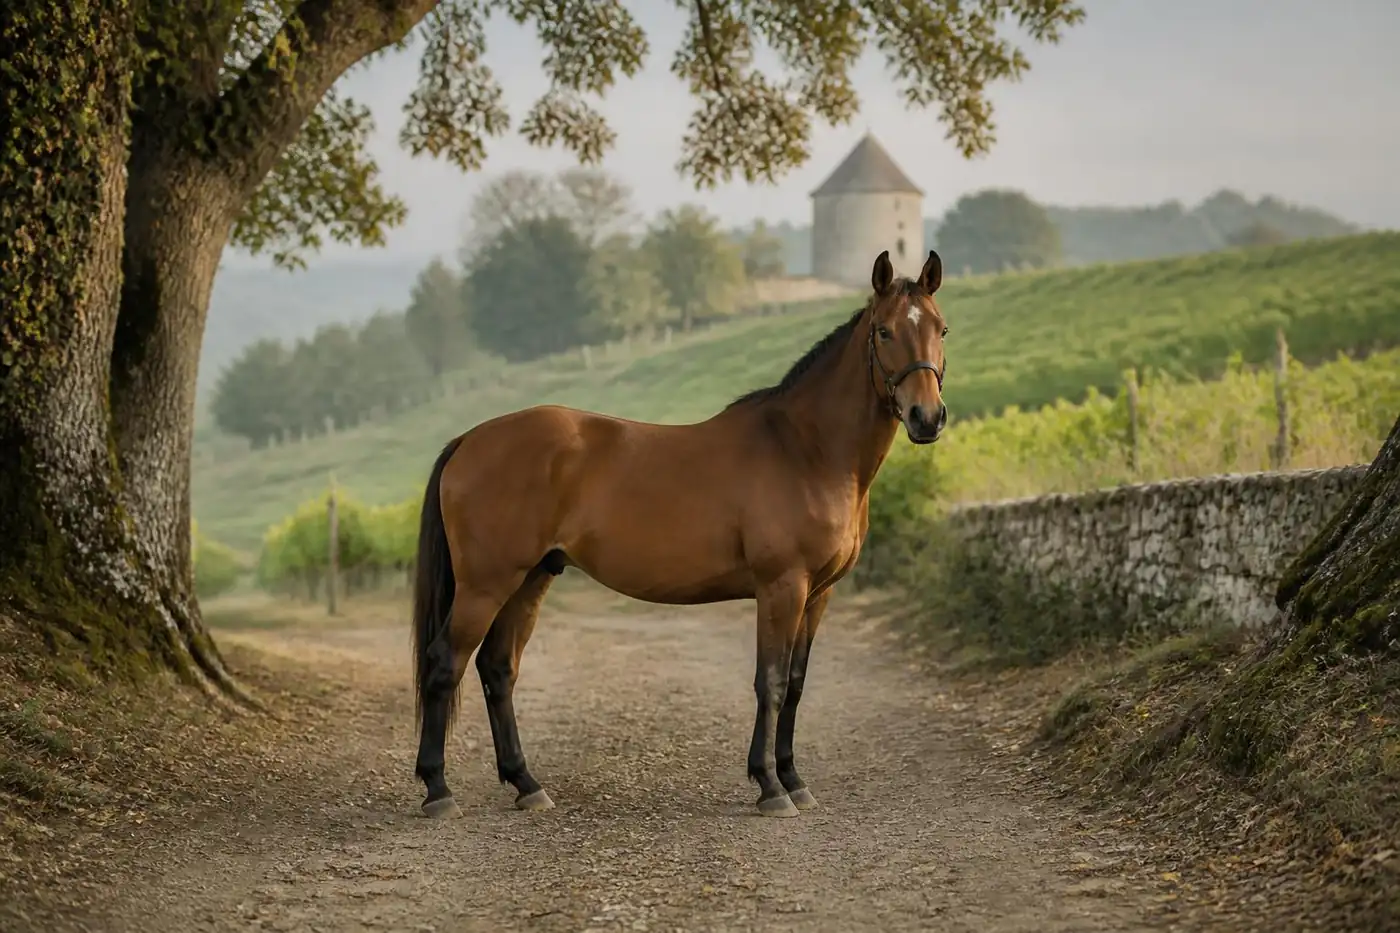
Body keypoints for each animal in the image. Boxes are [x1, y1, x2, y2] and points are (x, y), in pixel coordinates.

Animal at [410, 248, 949, 819]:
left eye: (941, 328)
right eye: (885, 331)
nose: (927, 417)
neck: (806, 449)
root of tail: (470, 439)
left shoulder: (818, 594)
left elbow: (797, 684)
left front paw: (793, 778)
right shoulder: (782, 587)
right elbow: (771, 681)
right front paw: (770, 786)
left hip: (531, 579)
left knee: (497, 669)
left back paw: (526, 783)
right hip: (486, 585)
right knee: (445, 663)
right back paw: (438, 790)